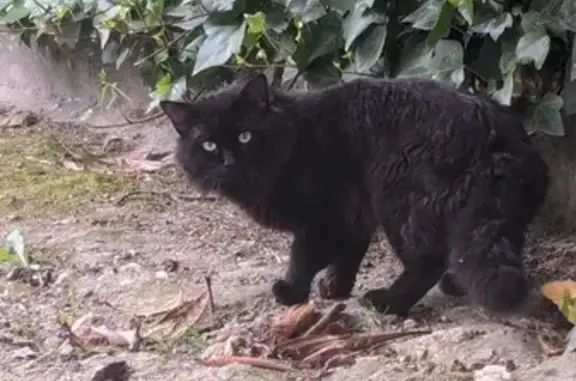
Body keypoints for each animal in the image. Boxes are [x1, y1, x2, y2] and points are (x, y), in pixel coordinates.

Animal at [161, 72, 548, 316]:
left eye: (245, 136)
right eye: (208, 145)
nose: (228, 162)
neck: (295, 136)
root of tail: (493, 134)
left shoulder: (325, 216)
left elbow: (303, 257)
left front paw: (291, 291)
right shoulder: (353, 214)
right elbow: (349, 253)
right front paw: (336, 287)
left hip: (398, 199)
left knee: (427, 262)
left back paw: (389, 303)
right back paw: (453, 283)